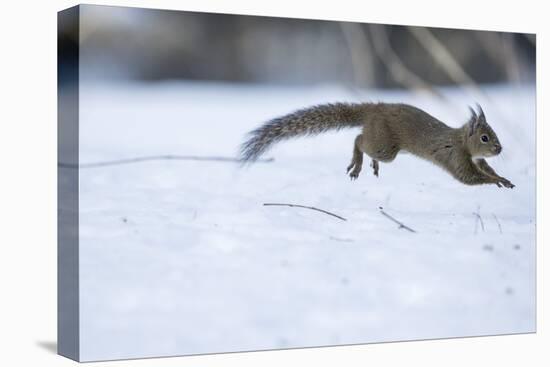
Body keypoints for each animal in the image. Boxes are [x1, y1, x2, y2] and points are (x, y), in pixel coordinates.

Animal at [242, 103, 516, 190]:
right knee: (358, 140)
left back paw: (369, 164)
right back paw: (357, 164)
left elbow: (486, 170)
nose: (500, 149)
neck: (461, 141)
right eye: (485, 138)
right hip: (386, 148)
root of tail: (374, 108)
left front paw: (503, 179)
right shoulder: (456, 157)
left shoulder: (478, 160)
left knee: (363, 139)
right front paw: (496, 181)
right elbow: (469, 177)